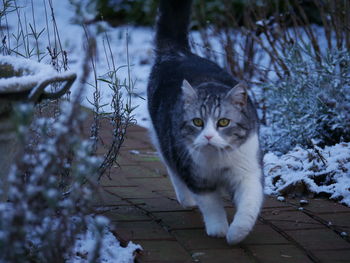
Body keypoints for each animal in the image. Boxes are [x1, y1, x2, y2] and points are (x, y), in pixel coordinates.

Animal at [146, 0, 264, 245]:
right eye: (198, 122)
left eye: (224, 122)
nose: (208, 136)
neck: (218, 159)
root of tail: (177, 53)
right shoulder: (197, 176)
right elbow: (211, 205)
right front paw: (218, 229)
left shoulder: (248, 170)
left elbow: (249, 203)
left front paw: (236, 233)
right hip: (165, 140)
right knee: (172, 167)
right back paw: (186, 199)